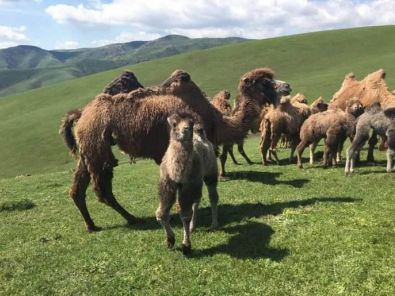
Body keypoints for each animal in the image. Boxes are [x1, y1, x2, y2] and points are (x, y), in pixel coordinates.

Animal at [60, 67, 280, 231]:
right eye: (265, 82)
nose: (285, 86)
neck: (212, 117)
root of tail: (81, 114)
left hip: (88, 150)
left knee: (78, 189)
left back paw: (92, 225)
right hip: (97, 147)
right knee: (102, 189)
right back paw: (133, 219)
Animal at [157, 110, 220, 254]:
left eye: (190, 123)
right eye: (174, 124)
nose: (185, 130)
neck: (177, 172)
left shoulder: (188, 186)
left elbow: (185, 216)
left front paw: (186, 245)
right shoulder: (168, 184)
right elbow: (161, 214)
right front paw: (170, 240)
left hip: (210, 173)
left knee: (212, 196)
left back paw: (214, 224)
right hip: (196, 182)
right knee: (197, 201)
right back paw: (193, 226)